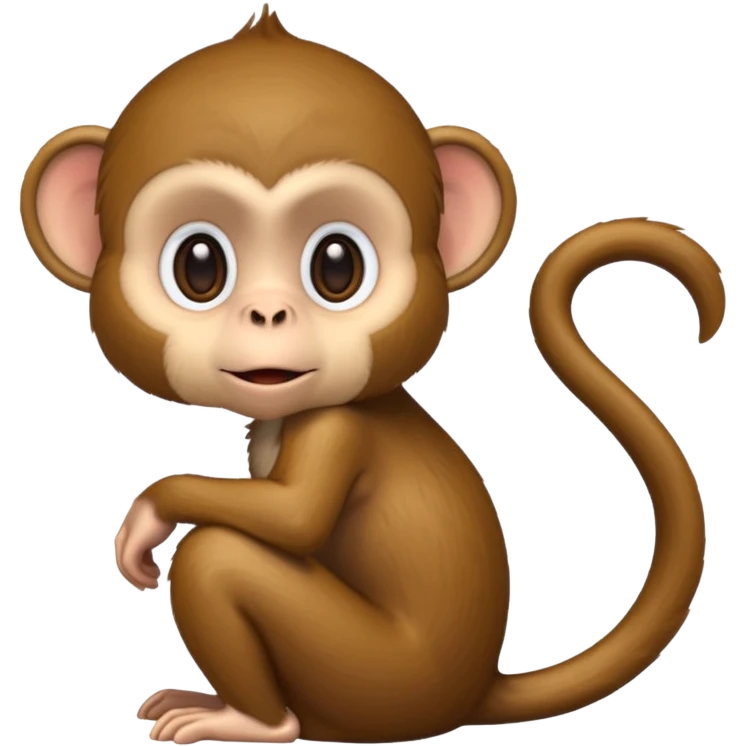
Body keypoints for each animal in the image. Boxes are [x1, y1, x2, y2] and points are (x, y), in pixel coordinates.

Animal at [19, 5, 726, 745]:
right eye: (200, 266)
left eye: (337, 267)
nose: (267, 312)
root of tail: (475, 692)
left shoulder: (337, 428)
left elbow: (293, 519)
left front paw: (151, 512)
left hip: (376, 678)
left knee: (217, 559)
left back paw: (257, 721)